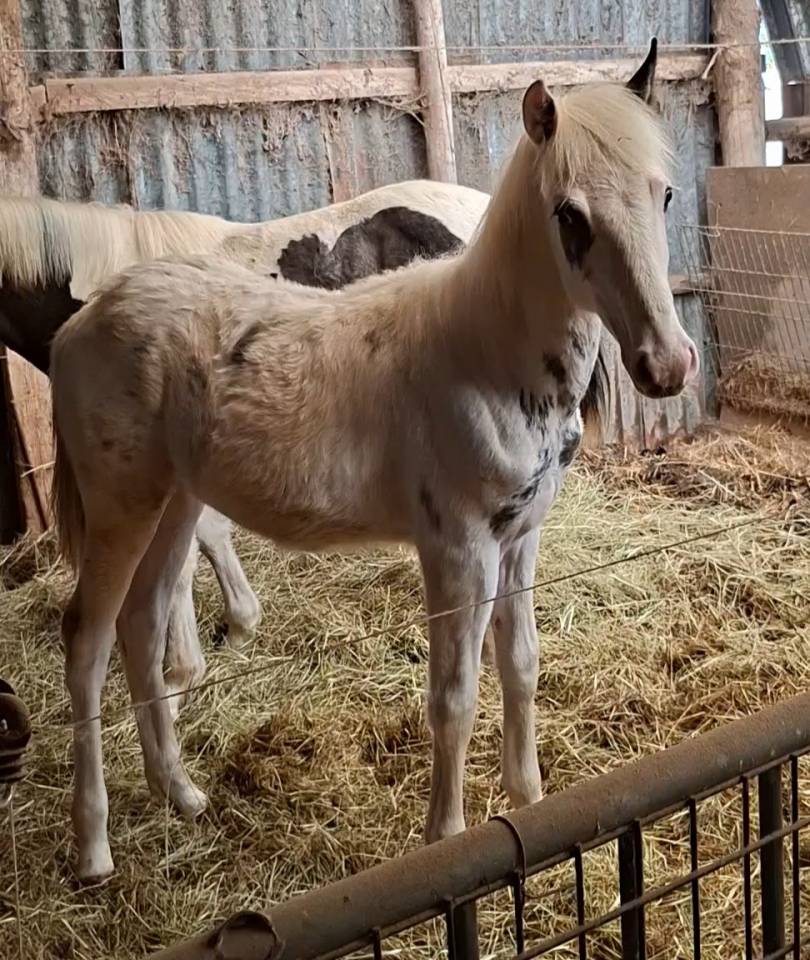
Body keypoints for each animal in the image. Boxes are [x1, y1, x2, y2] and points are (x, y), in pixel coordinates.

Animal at [50, 38, 698, 882]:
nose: (667, 366)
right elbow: (453, 696)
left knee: (143, 620)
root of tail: (81, 322)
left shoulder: (520, 537)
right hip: (120, 505)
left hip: (176, 501)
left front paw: (530, 801)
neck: (486, 353)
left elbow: (521, 664)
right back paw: (93, 848)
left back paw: (180, 794)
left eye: (665, 195)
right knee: (88, 641)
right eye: (569, 215)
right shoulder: (457, 549)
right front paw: (445, 838)